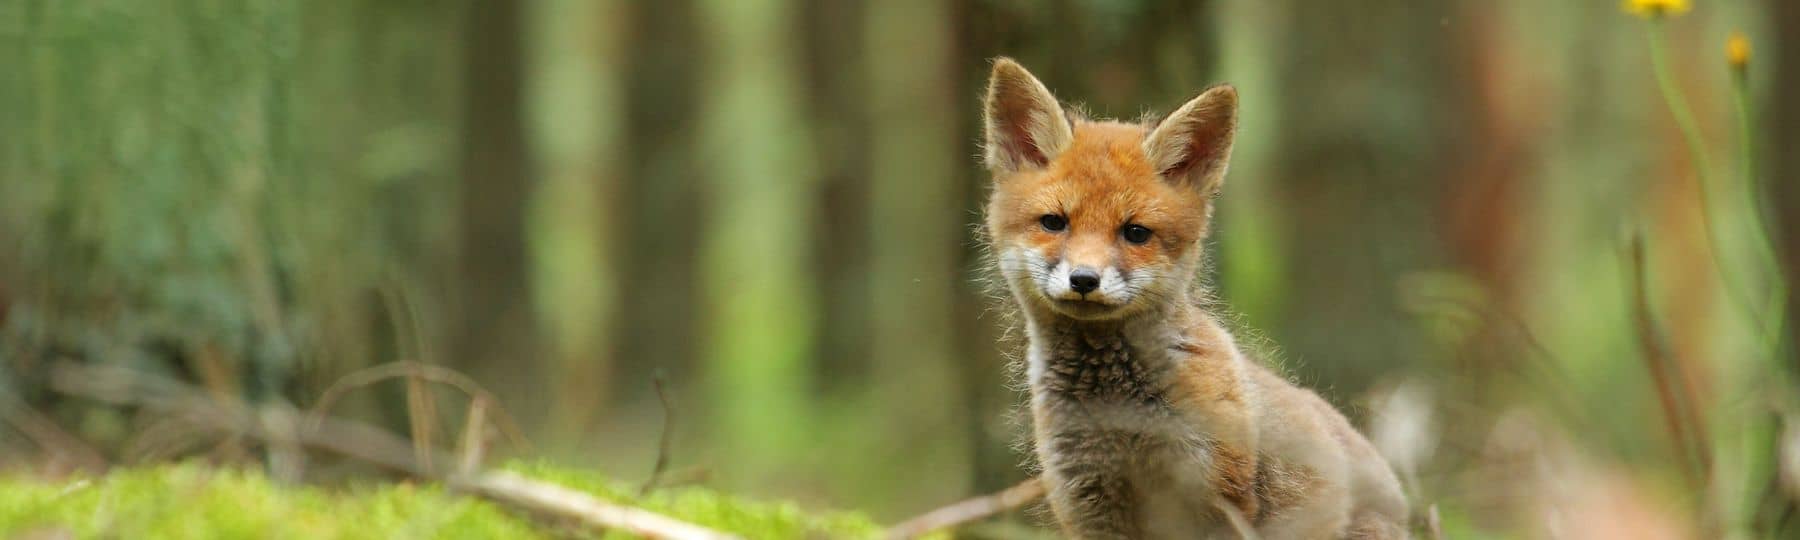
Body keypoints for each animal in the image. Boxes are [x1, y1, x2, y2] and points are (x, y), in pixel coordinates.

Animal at [979, 56, 1411, 536]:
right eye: (1054, 223)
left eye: (1135, 233)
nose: (1085, 280)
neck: (1118, 418)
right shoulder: (1088, 506)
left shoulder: (1220, 498)